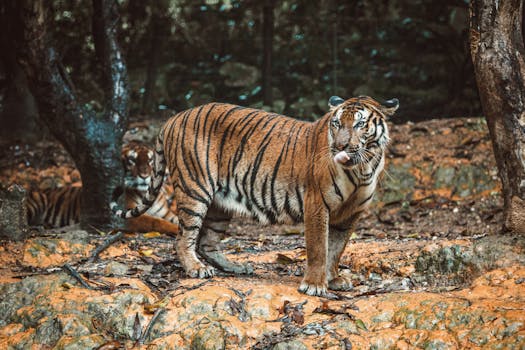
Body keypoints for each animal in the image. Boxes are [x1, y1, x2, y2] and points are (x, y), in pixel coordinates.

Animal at [27, 141, 179, 234]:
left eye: (150, 160)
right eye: (132, 160)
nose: (144, 175)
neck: (145, 193)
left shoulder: (166, 214)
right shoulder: (129, 215)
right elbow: (156, 222)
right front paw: (175, 229)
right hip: (36, 202)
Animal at [110, 95, 398, 296]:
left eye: (359, 124)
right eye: (337, 123)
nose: (339, 147)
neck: (362, 168)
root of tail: (175, 117)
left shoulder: (351, 214)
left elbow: (336, 249)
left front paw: (334, 279)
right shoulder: (317, 204)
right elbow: (319, 248)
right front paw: (315, 285)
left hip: (220, 205)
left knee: (207, 242)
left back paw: (236, 267)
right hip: (195, 190)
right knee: (183, 238)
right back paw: (196, 269)